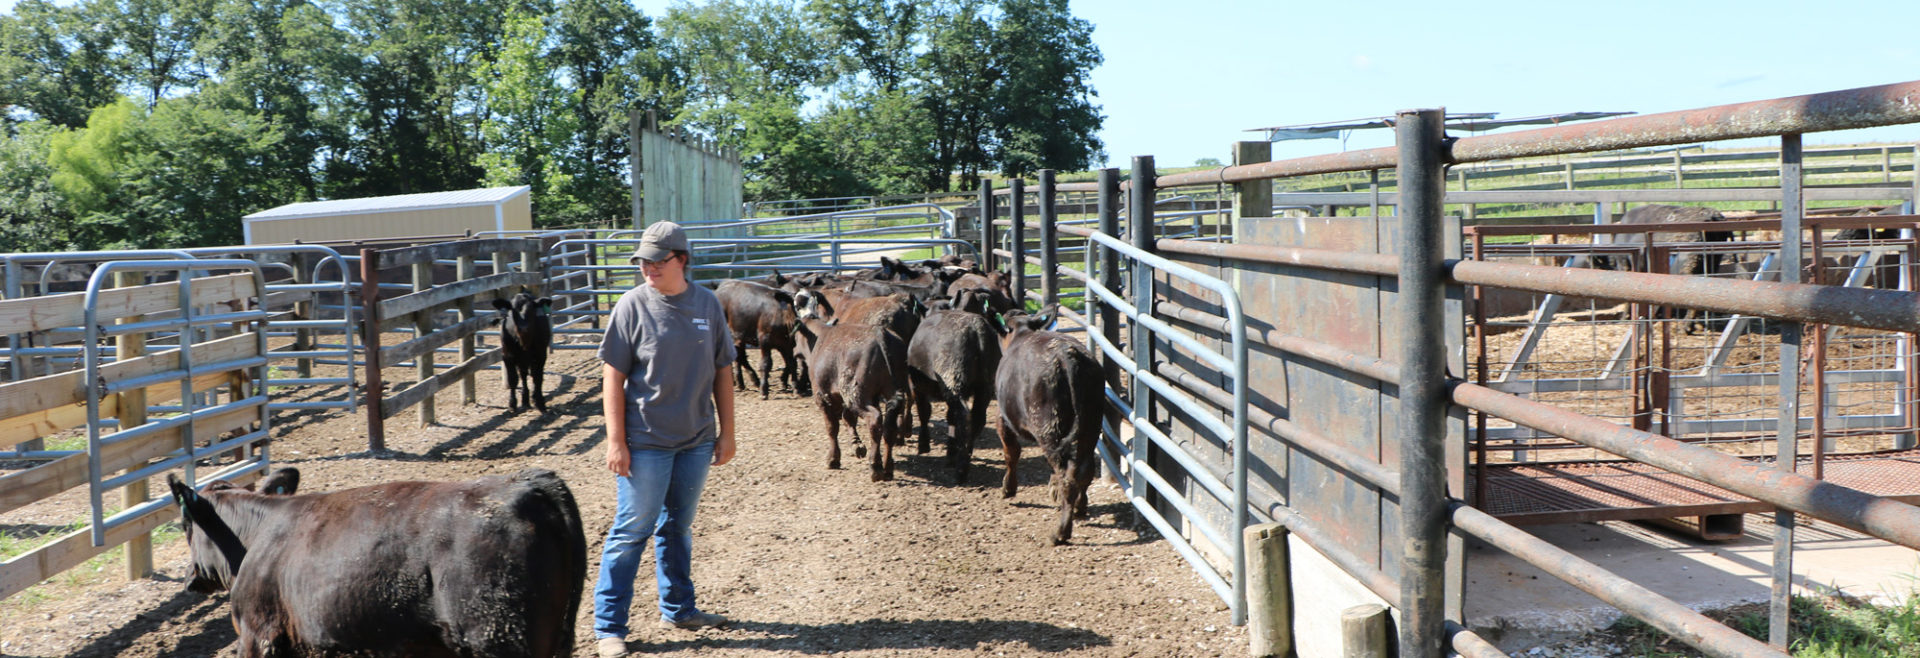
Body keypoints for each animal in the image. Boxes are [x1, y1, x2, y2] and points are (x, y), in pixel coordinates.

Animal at [998, 308, 1105, 544]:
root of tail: (1067, 356)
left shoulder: (1004, 419)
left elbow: (1012, 453)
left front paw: (1008, 488)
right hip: (1091, 426)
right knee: (1084, 469)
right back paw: (1079, 508)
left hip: (1048, 428)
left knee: (1067, 477)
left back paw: (1061, 532)